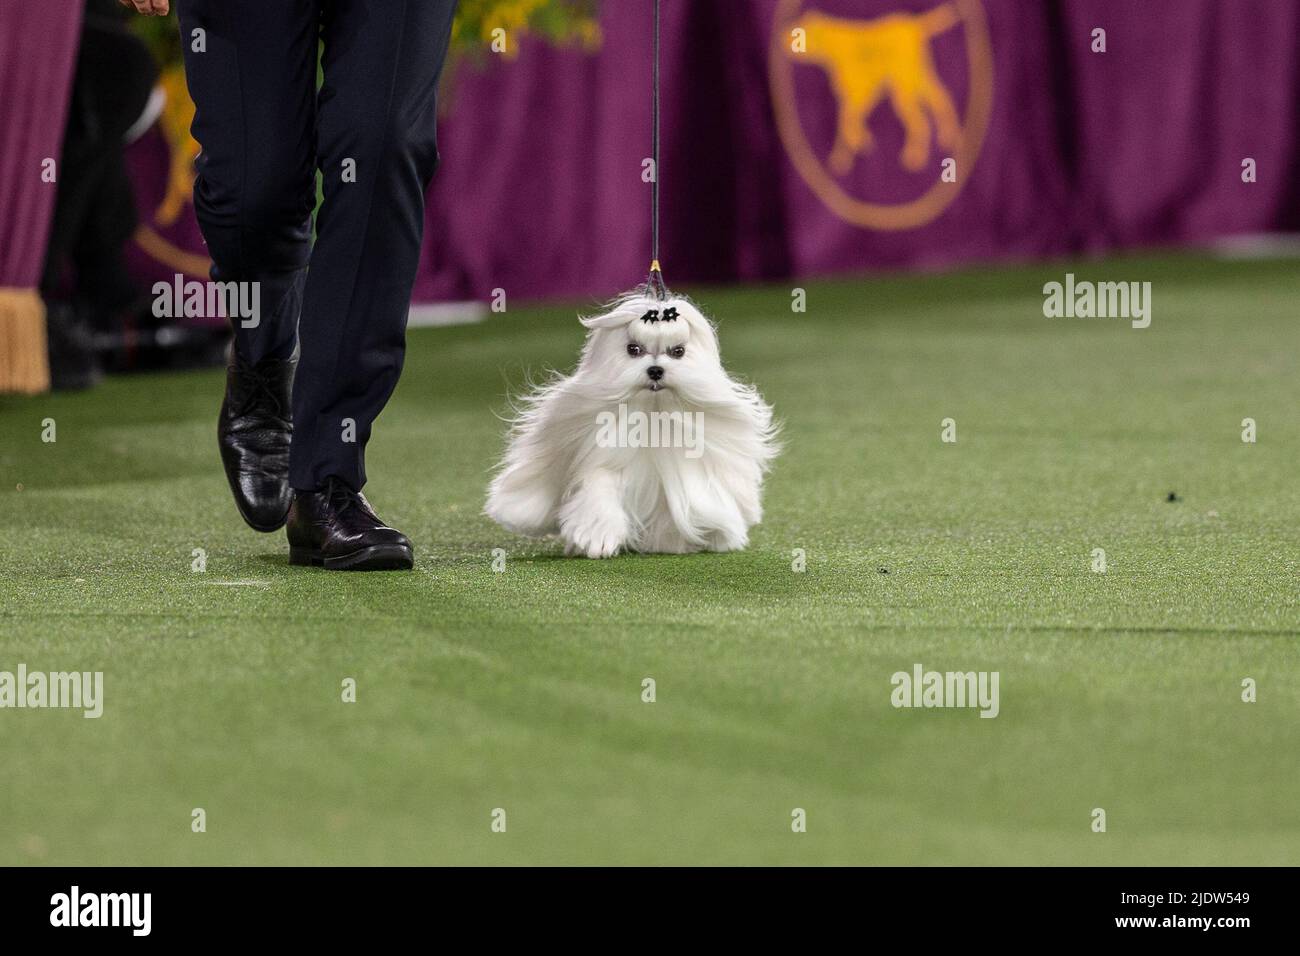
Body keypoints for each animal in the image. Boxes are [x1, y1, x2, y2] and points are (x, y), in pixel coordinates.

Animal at [486, 295, 769, 556]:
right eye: (633, 349)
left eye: (678, 351)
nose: (655, 370)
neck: (651, 414)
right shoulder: (601, 457)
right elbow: (599, 487)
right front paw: (596, 537)